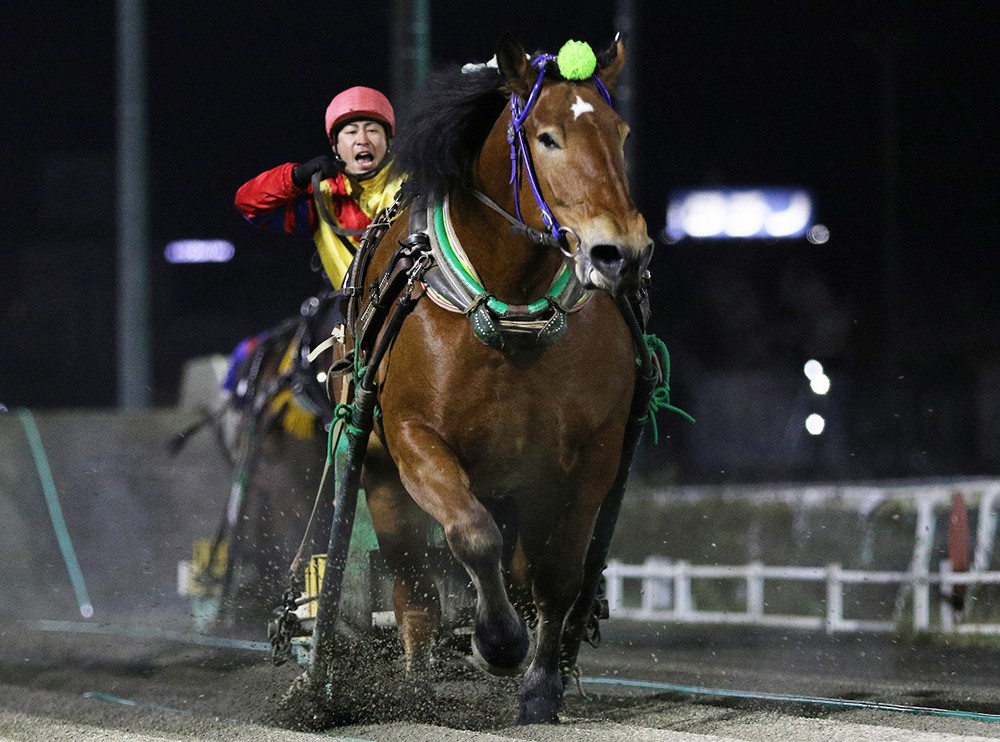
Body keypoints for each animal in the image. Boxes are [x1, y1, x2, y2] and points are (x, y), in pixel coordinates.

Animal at [321, 34, 657, 724]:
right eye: (547, 137)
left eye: (621, 132)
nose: (622, 252)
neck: (513, 303)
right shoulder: (415, 438)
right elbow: (472, 538)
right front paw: (497, 642)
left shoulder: (589, 453)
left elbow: (558, 575)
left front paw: (540, 686)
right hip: (379, 470)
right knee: (411, 578)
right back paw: (418, 679)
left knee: (522, 569)